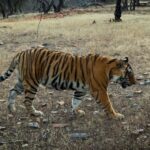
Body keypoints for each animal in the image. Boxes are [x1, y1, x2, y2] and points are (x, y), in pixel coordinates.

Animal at [0, 47, 136, 119]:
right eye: (129, 73)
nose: (135, 82)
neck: (109, 69)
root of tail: (21, 52)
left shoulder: (81, 89)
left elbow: (75, 101)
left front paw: (76, 112)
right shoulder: (99, 90)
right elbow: (108, 104)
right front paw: (116, 115)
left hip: (23, 81)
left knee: (12, 91)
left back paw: (11, 109)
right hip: (31, 82)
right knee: (27, 101)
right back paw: (35, 113)